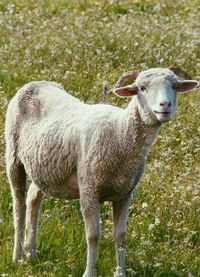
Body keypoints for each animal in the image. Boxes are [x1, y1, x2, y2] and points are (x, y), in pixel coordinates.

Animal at [4, 67, 198, 276]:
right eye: (142, 88)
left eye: (174, 86)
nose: (165, 105)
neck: (119, 133)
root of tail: (35, 84)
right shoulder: (89, 189)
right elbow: (93, 235)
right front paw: (89, 272)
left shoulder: (125, 193)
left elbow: (120, 235)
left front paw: (120, 272)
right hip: (13, 157)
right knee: (19, 207)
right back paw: (17, 257)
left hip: (45, 167)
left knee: (33, 199)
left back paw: (31, 254)